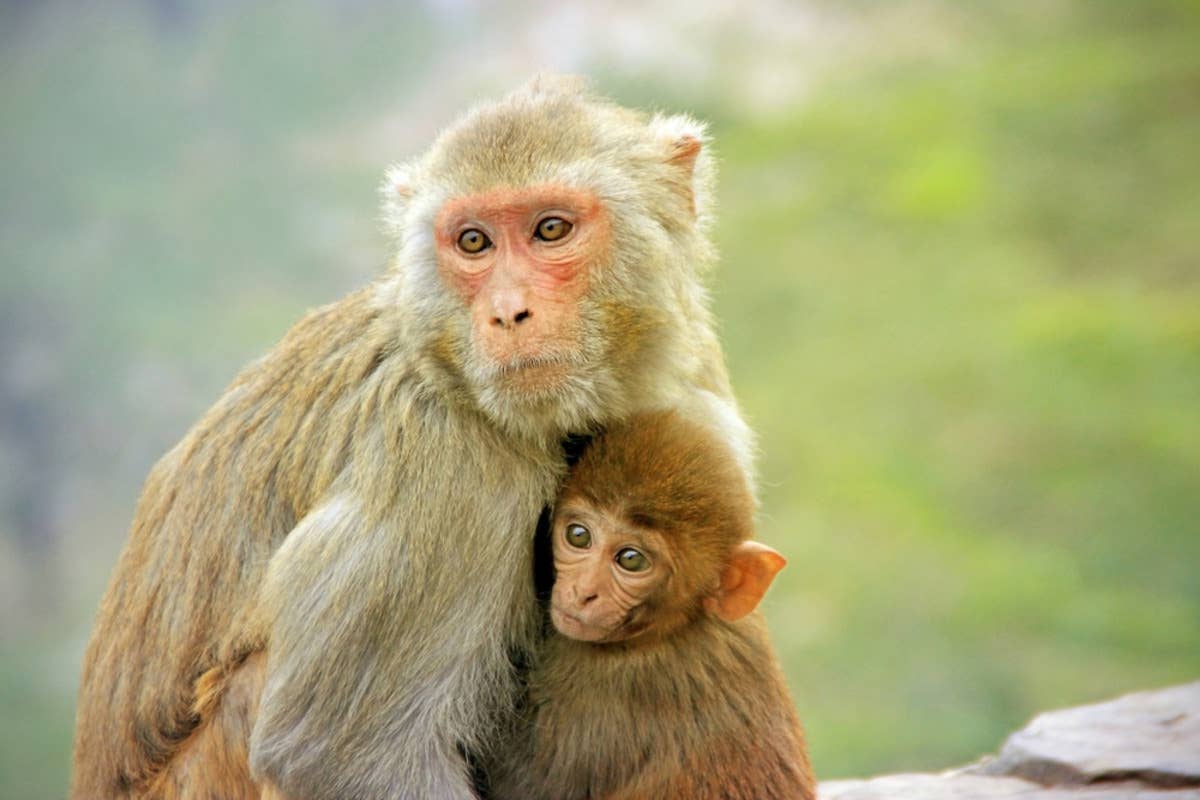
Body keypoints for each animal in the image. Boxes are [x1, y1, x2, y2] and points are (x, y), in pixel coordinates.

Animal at [70, 75, 756, 800]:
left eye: (550, 229)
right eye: (474, 242)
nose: (507, 313)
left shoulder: (695, 385)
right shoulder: (452, 466)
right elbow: (342, 755)